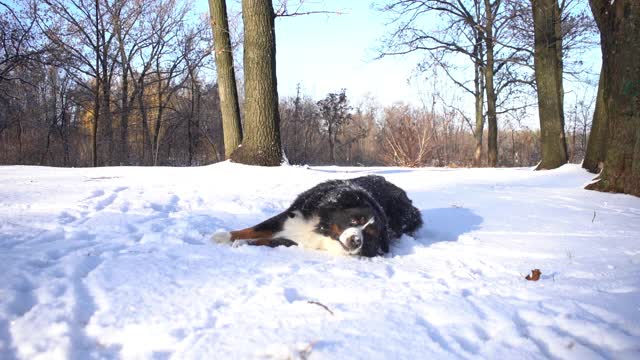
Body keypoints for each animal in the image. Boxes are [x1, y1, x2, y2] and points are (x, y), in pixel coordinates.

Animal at [212, 175, 422, 256]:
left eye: (370, 234)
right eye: (355, 219)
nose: (356, 241)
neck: (322, 226)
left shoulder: (296, 241)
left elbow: (268, 240)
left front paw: (242, 244)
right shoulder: (289, 217)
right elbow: (255, 228)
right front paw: (224, 236)